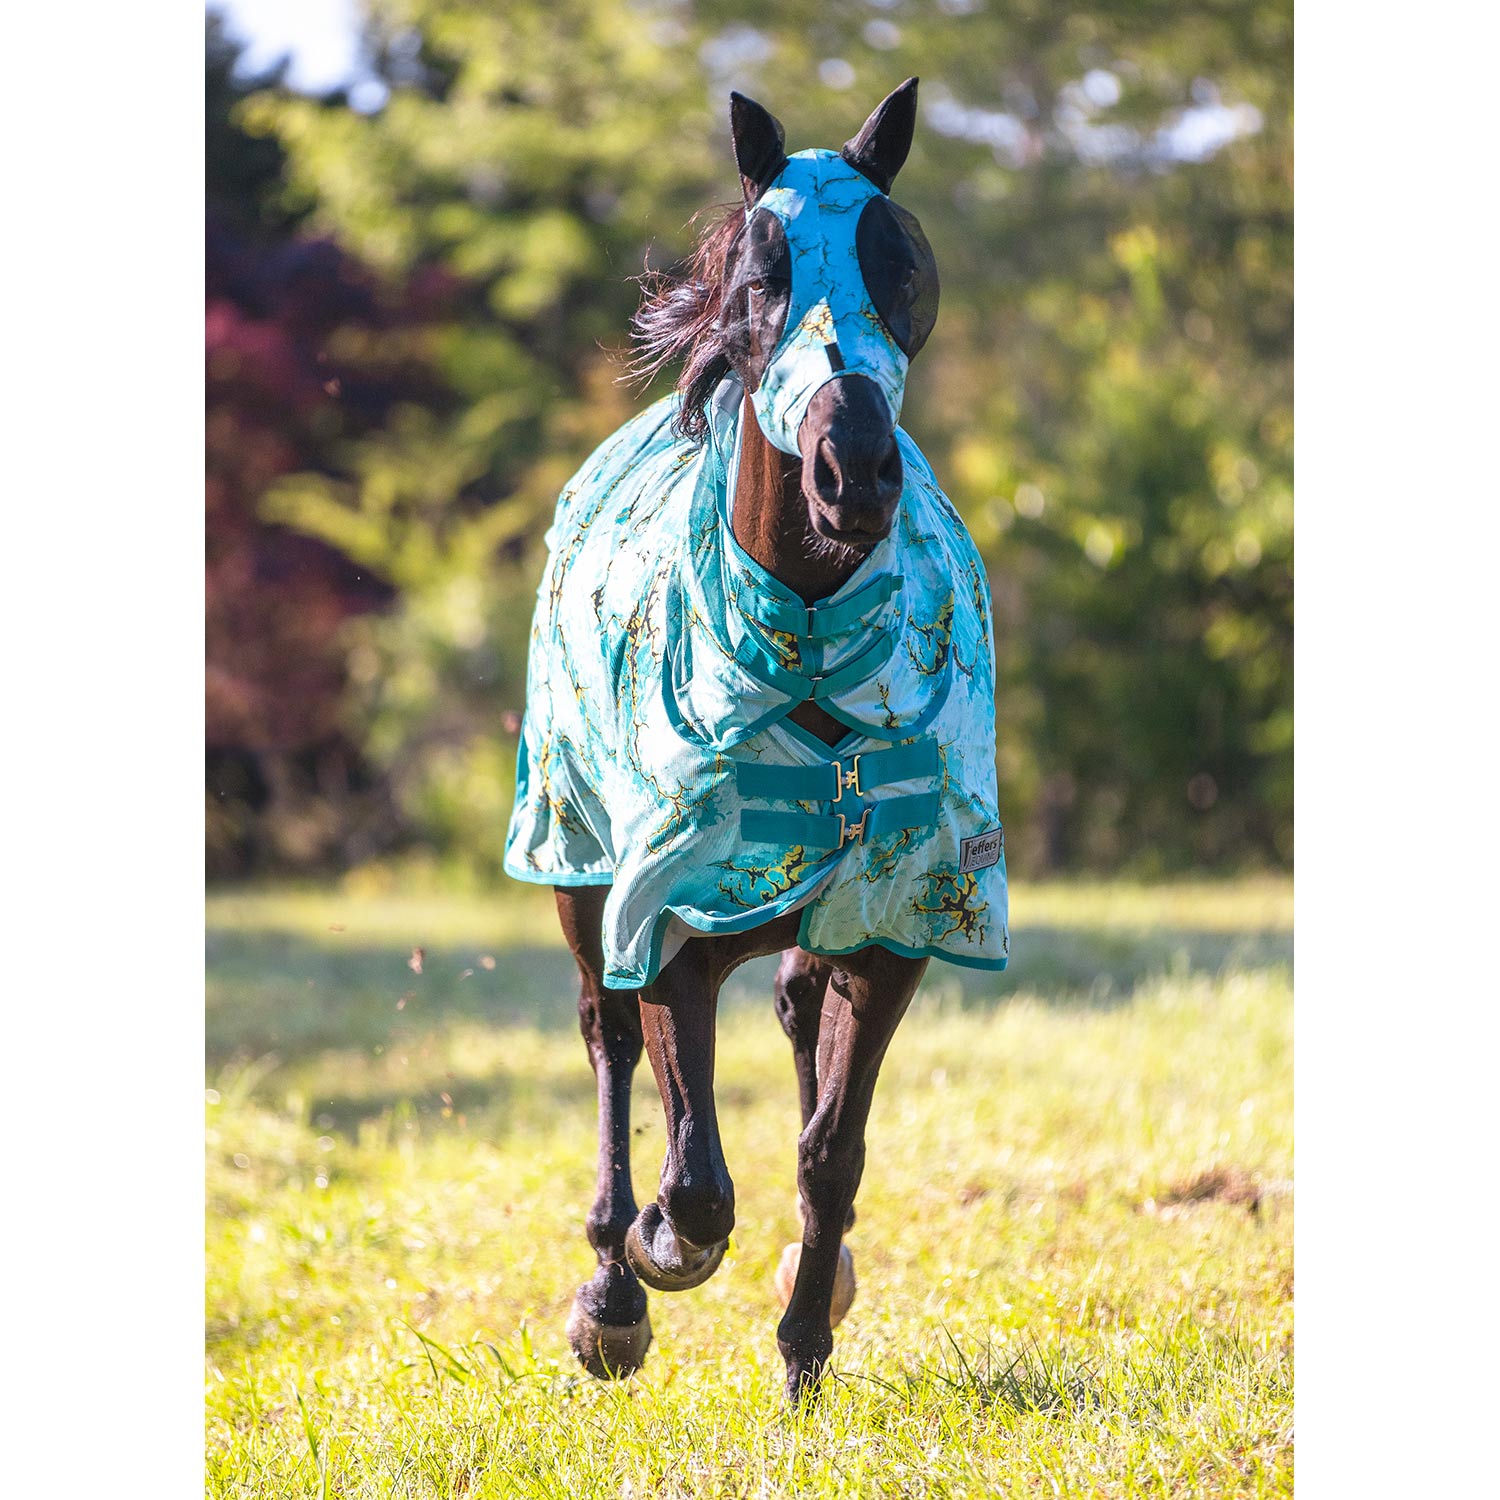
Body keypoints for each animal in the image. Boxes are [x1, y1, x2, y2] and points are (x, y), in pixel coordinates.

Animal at [504, 79, 1010, 1400]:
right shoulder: (667, 911)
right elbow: (692, 1173)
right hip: (574, 862)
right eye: (761, 272)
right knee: (607, 1039)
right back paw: (612, 1286)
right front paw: (654, 1258)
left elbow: (832, 1150)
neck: (809, 646)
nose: (854, 469)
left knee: (790, 1017)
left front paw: (805, 1341)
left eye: (901, 261)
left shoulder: (897, 919)